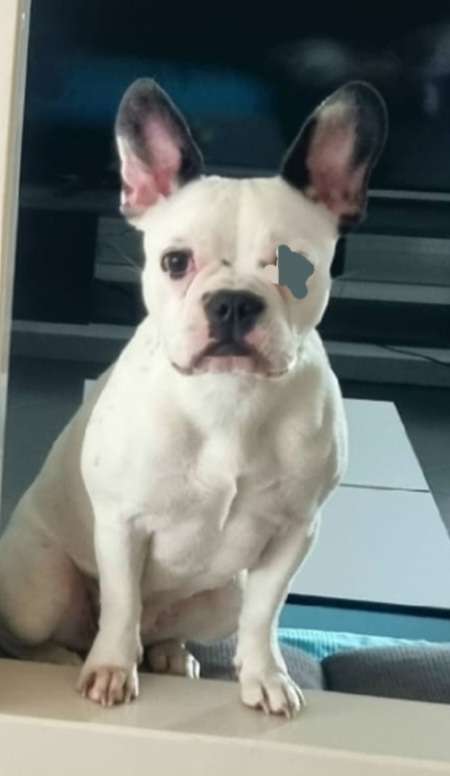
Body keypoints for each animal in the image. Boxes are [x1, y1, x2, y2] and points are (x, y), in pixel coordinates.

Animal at [0, 78, 387, 716]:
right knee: (57, 632)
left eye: (298, 267)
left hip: (220, 596)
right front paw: (111, 671)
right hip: (40, 592)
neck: (227, 397)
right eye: (175, 262)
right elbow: (122, 602)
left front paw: (265, 677)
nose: (233, 302)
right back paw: (67, 657)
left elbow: (264, 616)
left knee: (173, 626)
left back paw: (170, 654)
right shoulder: (122, 523)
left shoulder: (294, 533)